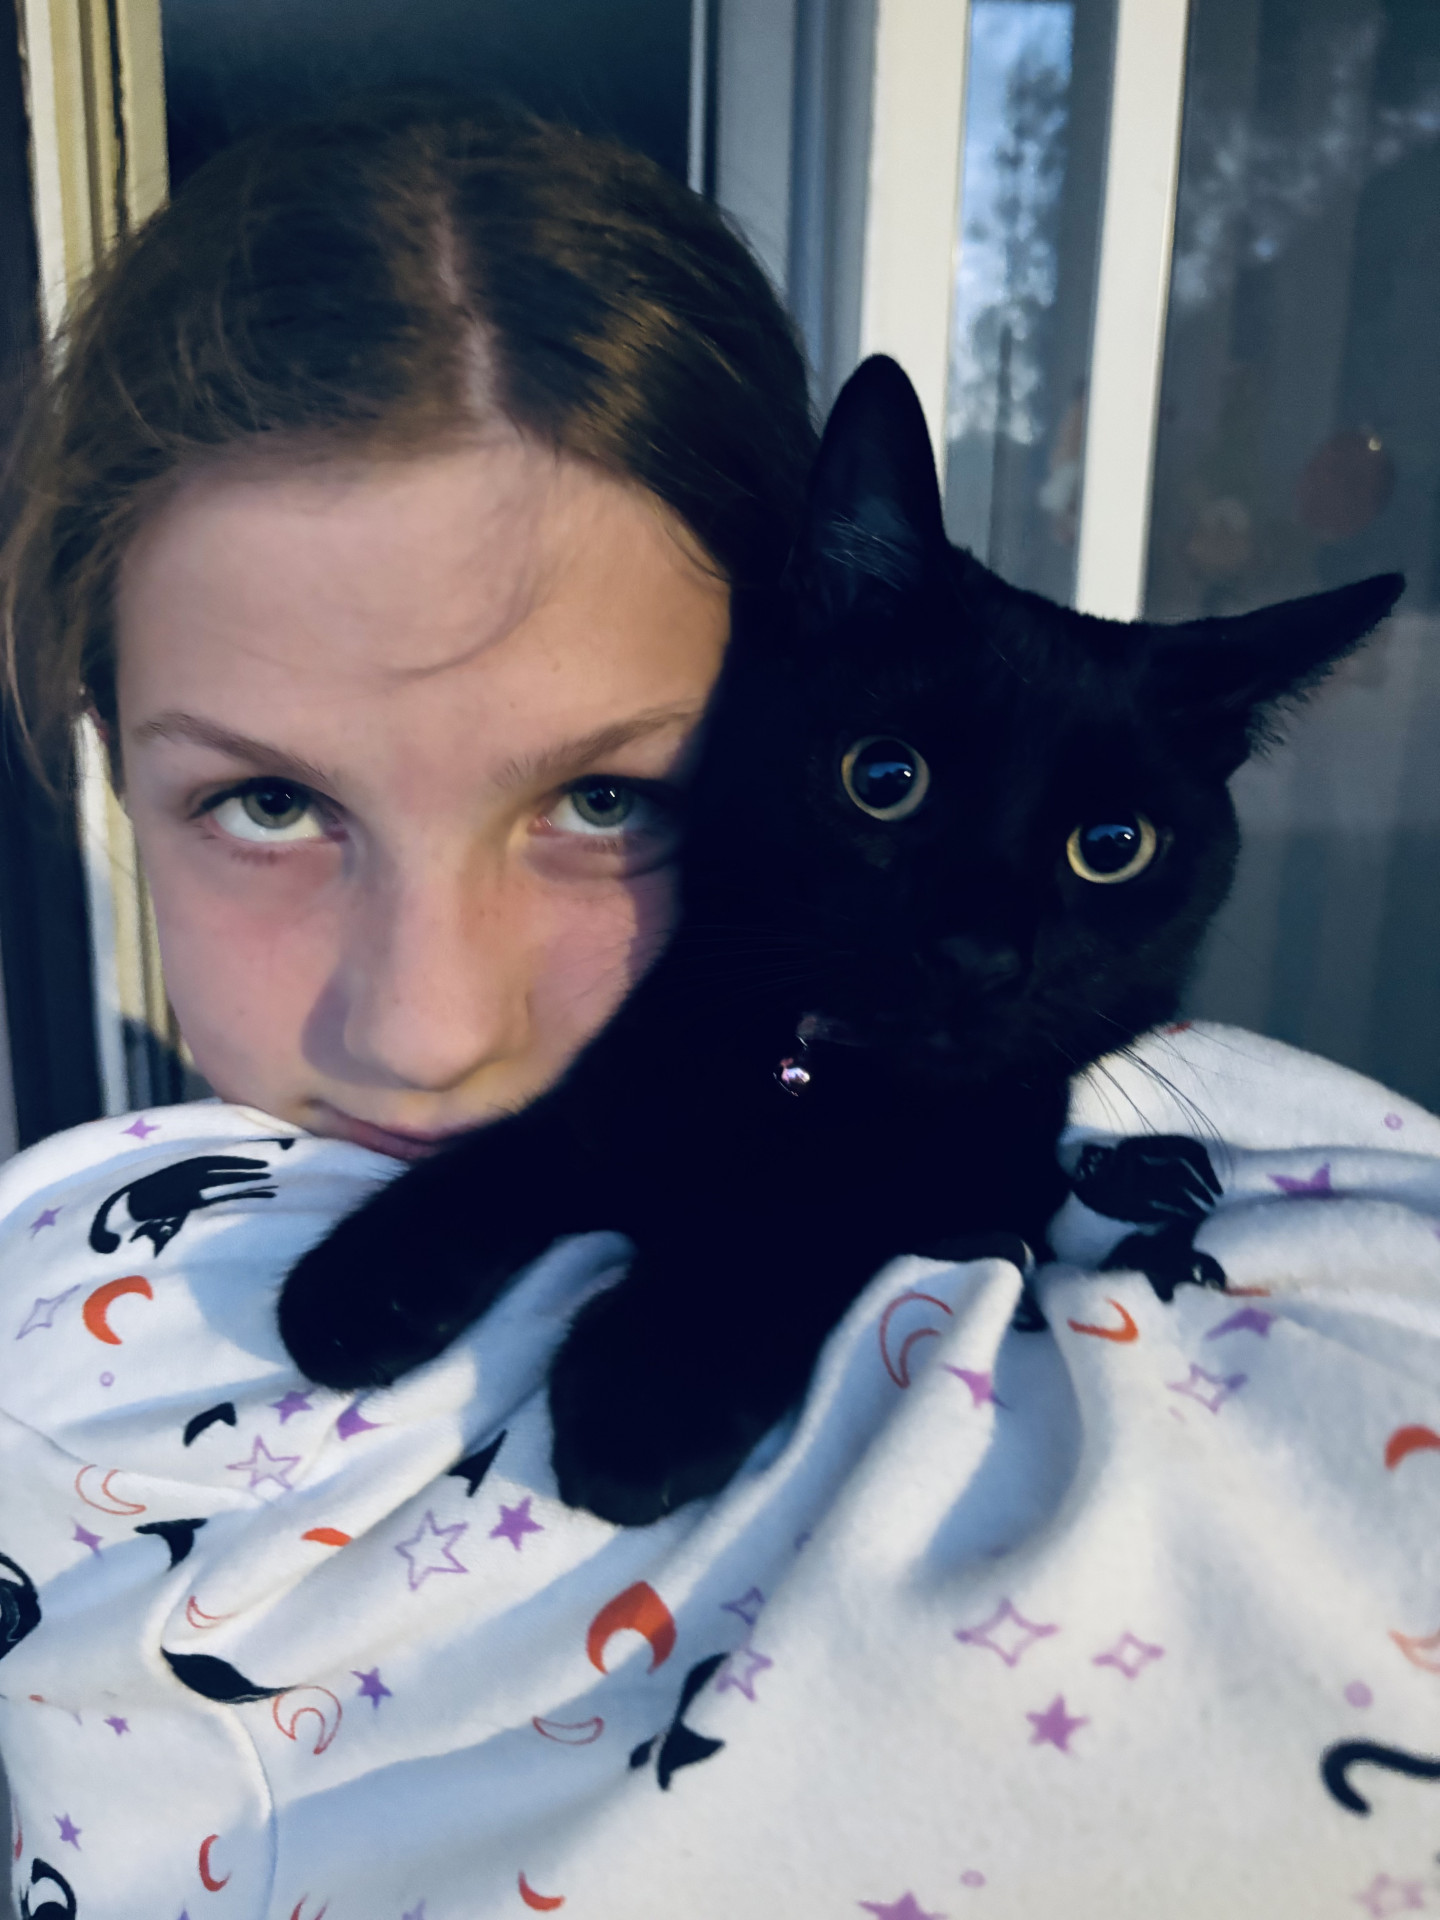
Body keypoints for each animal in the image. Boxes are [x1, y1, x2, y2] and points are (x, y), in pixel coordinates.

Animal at [278, 355, 1402, 1527]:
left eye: (1111, 846)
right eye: (884, 776)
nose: (976, 951)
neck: (810, 1084)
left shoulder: (981, 1191)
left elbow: (814, 1230)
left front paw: (650, 1391)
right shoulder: (639, 1070)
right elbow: (539, 1139)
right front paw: (368, 1276)